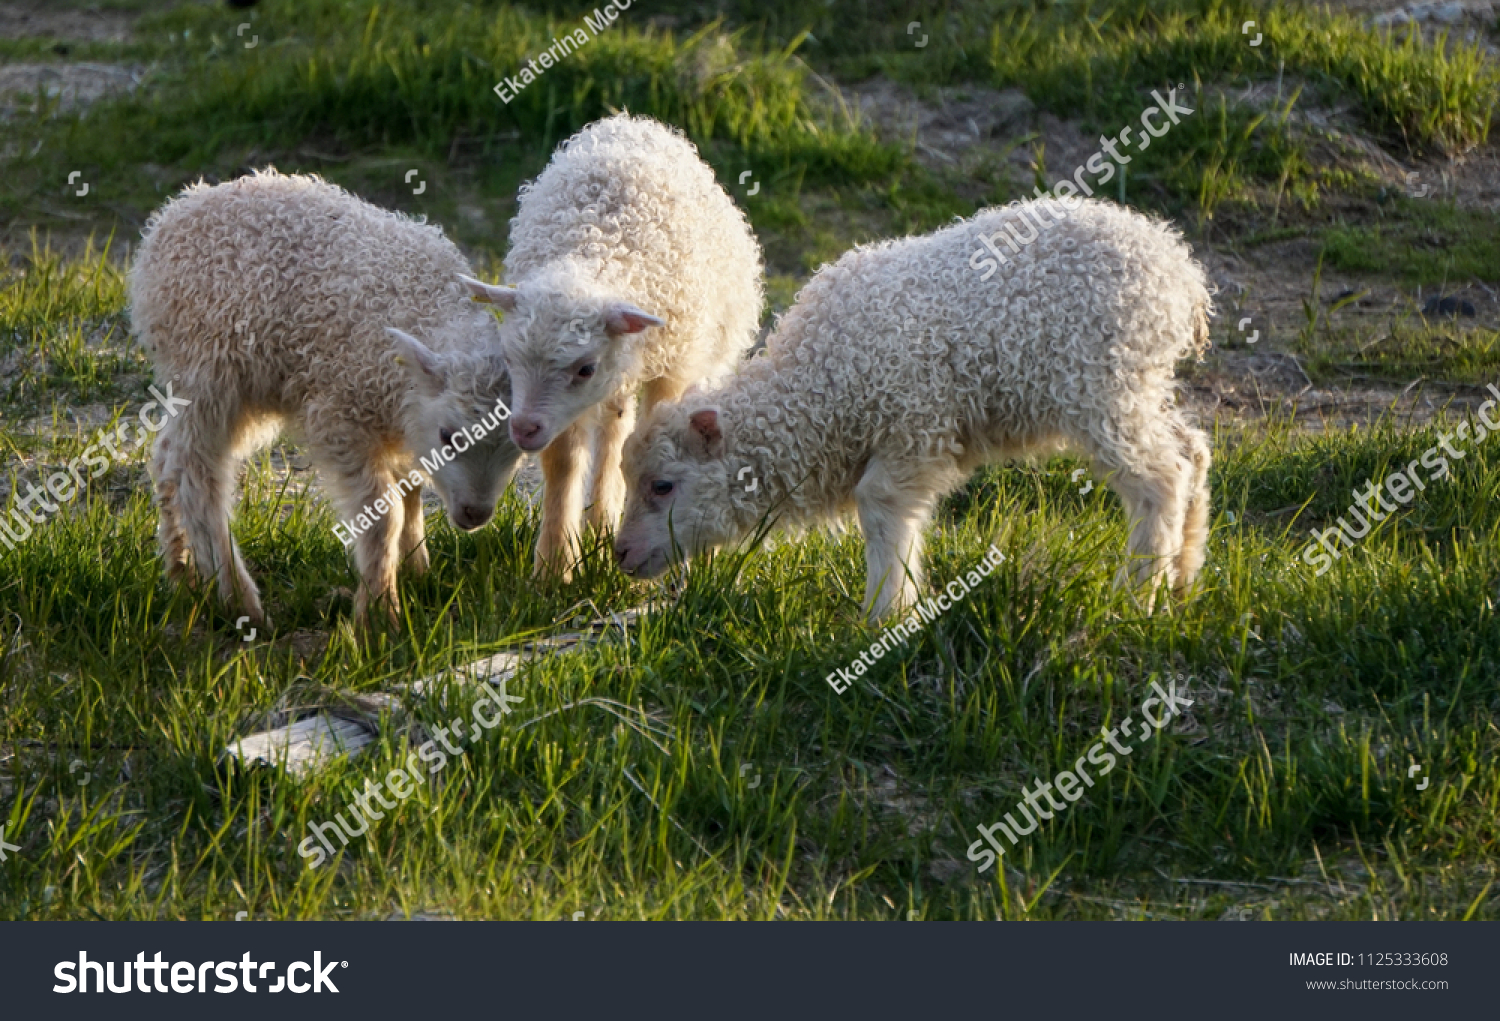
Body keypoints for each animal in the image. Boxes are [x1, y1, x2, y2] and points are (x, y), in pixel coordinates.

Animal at [129, 169, 521, 626]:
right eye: (449, 435)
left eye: (516, 447)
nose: (476, 514)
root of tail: (173, 214)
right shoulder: (340, 413)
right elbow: (383, 515)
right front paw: (380, 612)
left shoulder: (397, 415)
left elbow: (410, 490)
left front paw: (414, 568)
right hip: (209, 368)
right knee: (196, 473)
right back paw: (237, 598)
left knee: (165, 458)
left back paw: (182, 573)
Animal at [460, 113, 764, 580]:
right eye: (510, 359)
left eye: (584, 368)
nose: (523, 428)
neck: (596, 245)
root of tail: (633, 121)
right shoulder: (563, 409)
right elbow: (564, 462)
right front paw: (554, 567)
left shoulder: (672, 367)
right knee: (614, 431)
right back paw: (601, 522)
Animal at [613, 198, 1213, 619]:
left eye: (662, 486)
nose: (619, 555)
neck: (820, 387)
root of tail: (1181, 274)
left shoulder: (914, 425)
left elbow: (880, 507)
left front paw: (884, 612)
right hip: (1139, 387)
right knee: (1192, 451)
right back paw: (1183, 575)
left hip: (1102, 389)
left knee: (1160, 477)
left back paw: (1137, 596)